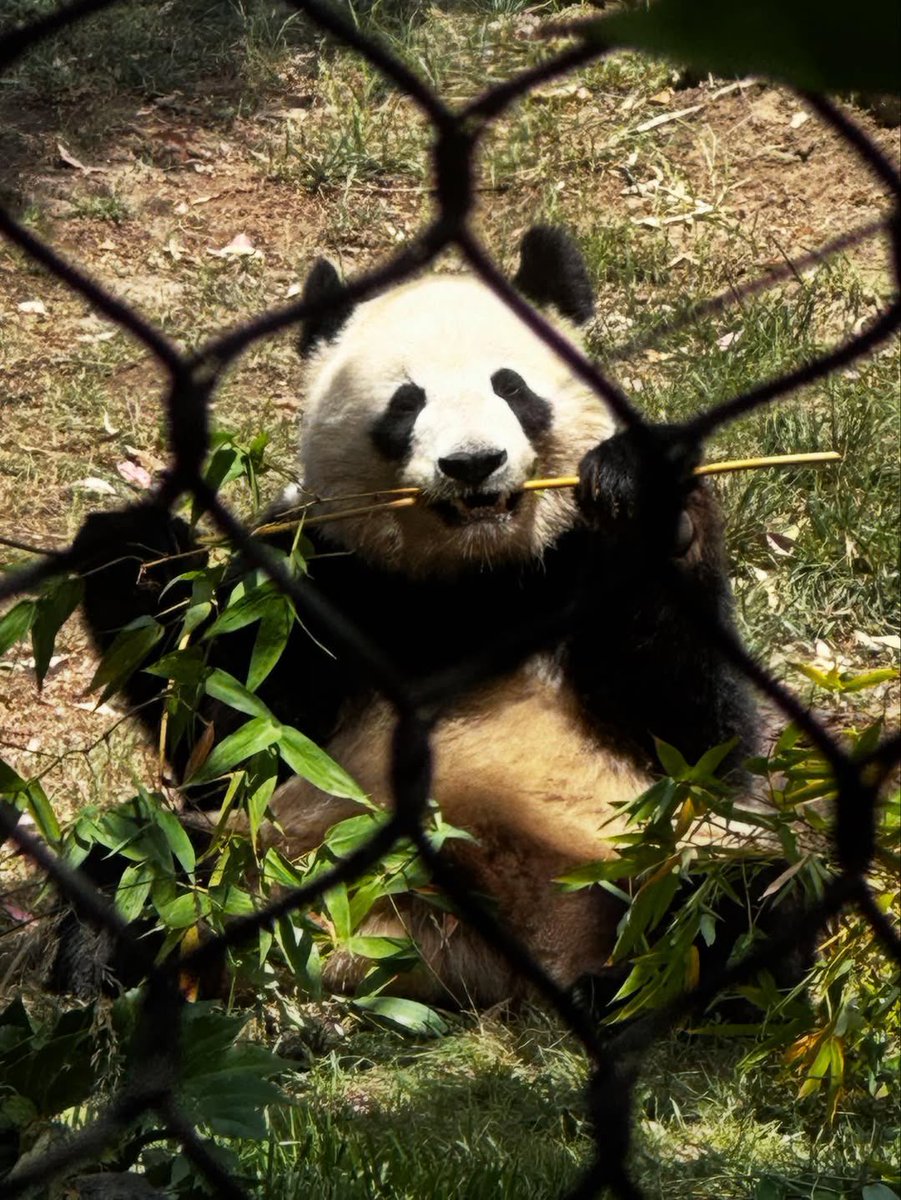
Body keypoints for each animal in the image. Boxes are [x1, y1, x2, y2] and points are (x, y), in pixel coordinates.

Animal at [63, 226, 783, 1011]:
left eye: (511, 387)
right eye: (406, 404)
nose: (472, 464)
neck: (472, 581)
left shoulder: (574, 572)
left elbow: (700, 745)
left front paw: (643, 497)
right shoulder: (322, 581)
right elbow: (235, 732)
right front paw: (128, 550)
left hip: (624, 862)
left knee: (737, 899)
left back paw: (637, 984)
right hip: (278, 856)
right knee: (140, 861)